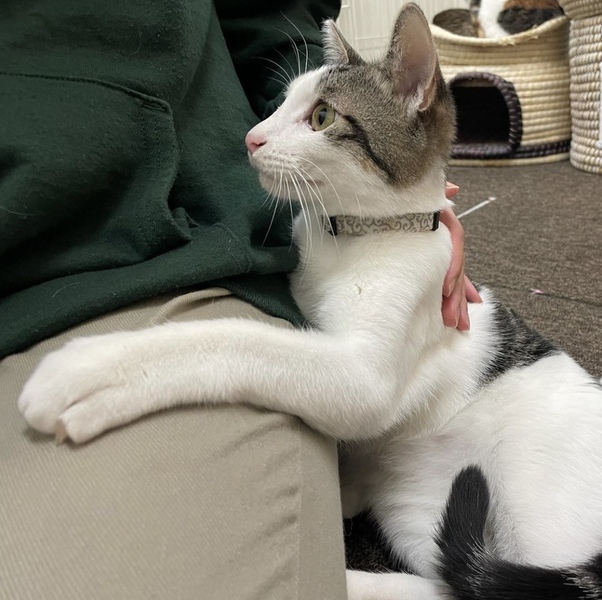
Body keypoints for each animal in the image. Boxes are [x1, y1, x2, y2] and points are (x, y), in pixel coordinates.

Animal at [18, 3, 602, 599]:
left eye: (321, 117)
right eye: (282, 102)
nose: (251, 137)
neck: (349, 238)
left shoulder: (365, 375)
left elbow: (241, 340)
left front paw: (94, 370)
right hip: (413, 508)